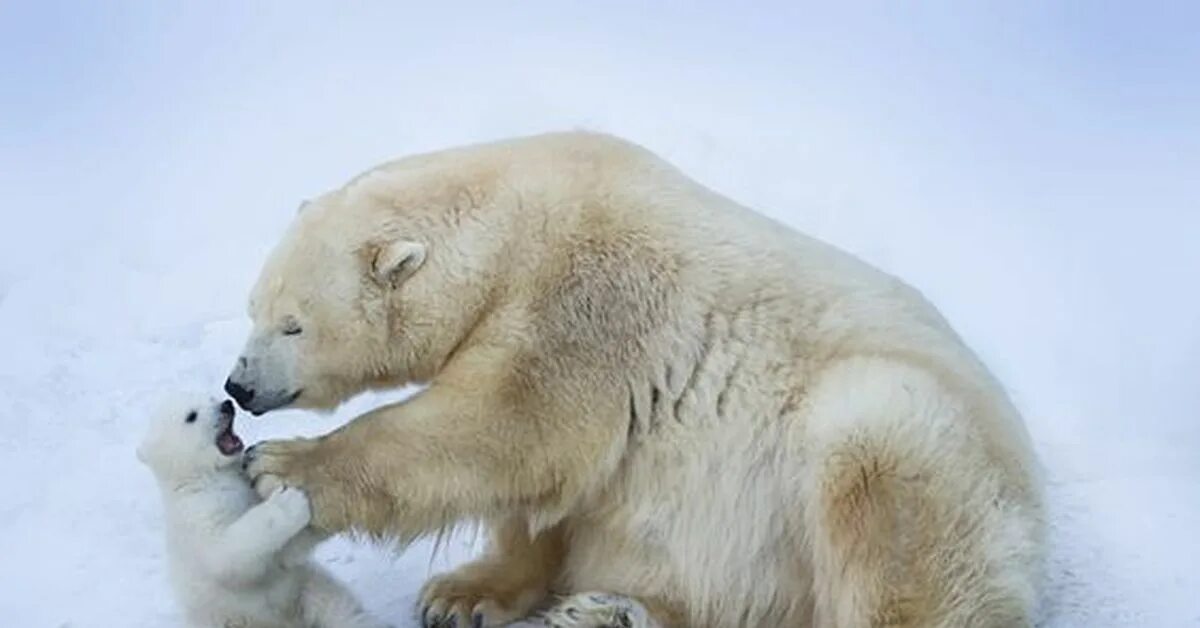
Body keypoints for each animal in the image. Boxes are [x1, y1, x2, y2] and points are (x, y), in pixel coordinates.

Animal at [138, 393, 386, 628]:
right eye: (191, 416)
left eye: (210, 397)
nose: (227, 405)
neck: (203, 476)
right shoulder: (198, 513)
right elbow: (227, 554)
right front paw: (288, 500)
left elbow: (286, 553)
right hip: (232, 619)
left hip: (306, 589)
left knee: (340, 610)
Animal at [225, 132, 1041, 628]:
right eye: (253, 307)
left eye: (294, 325)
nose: (239, 387)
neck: (521, 221)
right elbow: (549, 492)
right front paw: (463, 595)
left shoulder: (595, 299)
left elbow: (506, 425)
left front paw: (283, 468)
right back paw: (605, 612)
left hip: (922, 447)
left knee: (887, 504)